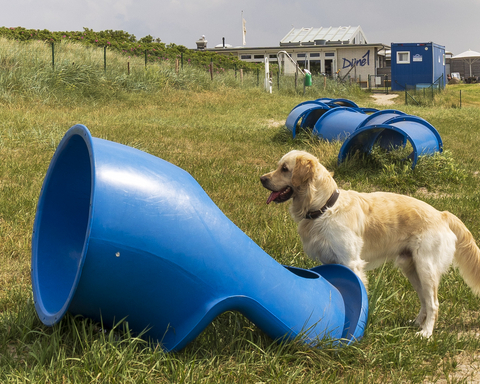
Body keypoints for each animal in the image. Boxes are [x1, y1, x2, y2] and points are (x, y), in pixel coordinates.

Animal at [260, 149, 480, 336]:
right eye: (279, 166)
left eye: (284, 169)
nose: (262, 179)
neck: (324, 208)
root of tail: (442, 214)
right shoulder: (329, 260)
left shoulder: (352, 262)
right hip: (412, 269)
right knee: (424, 301)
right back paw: (416, 323)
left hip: (426, 268)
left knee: (433, 303)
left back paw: (426, 333)